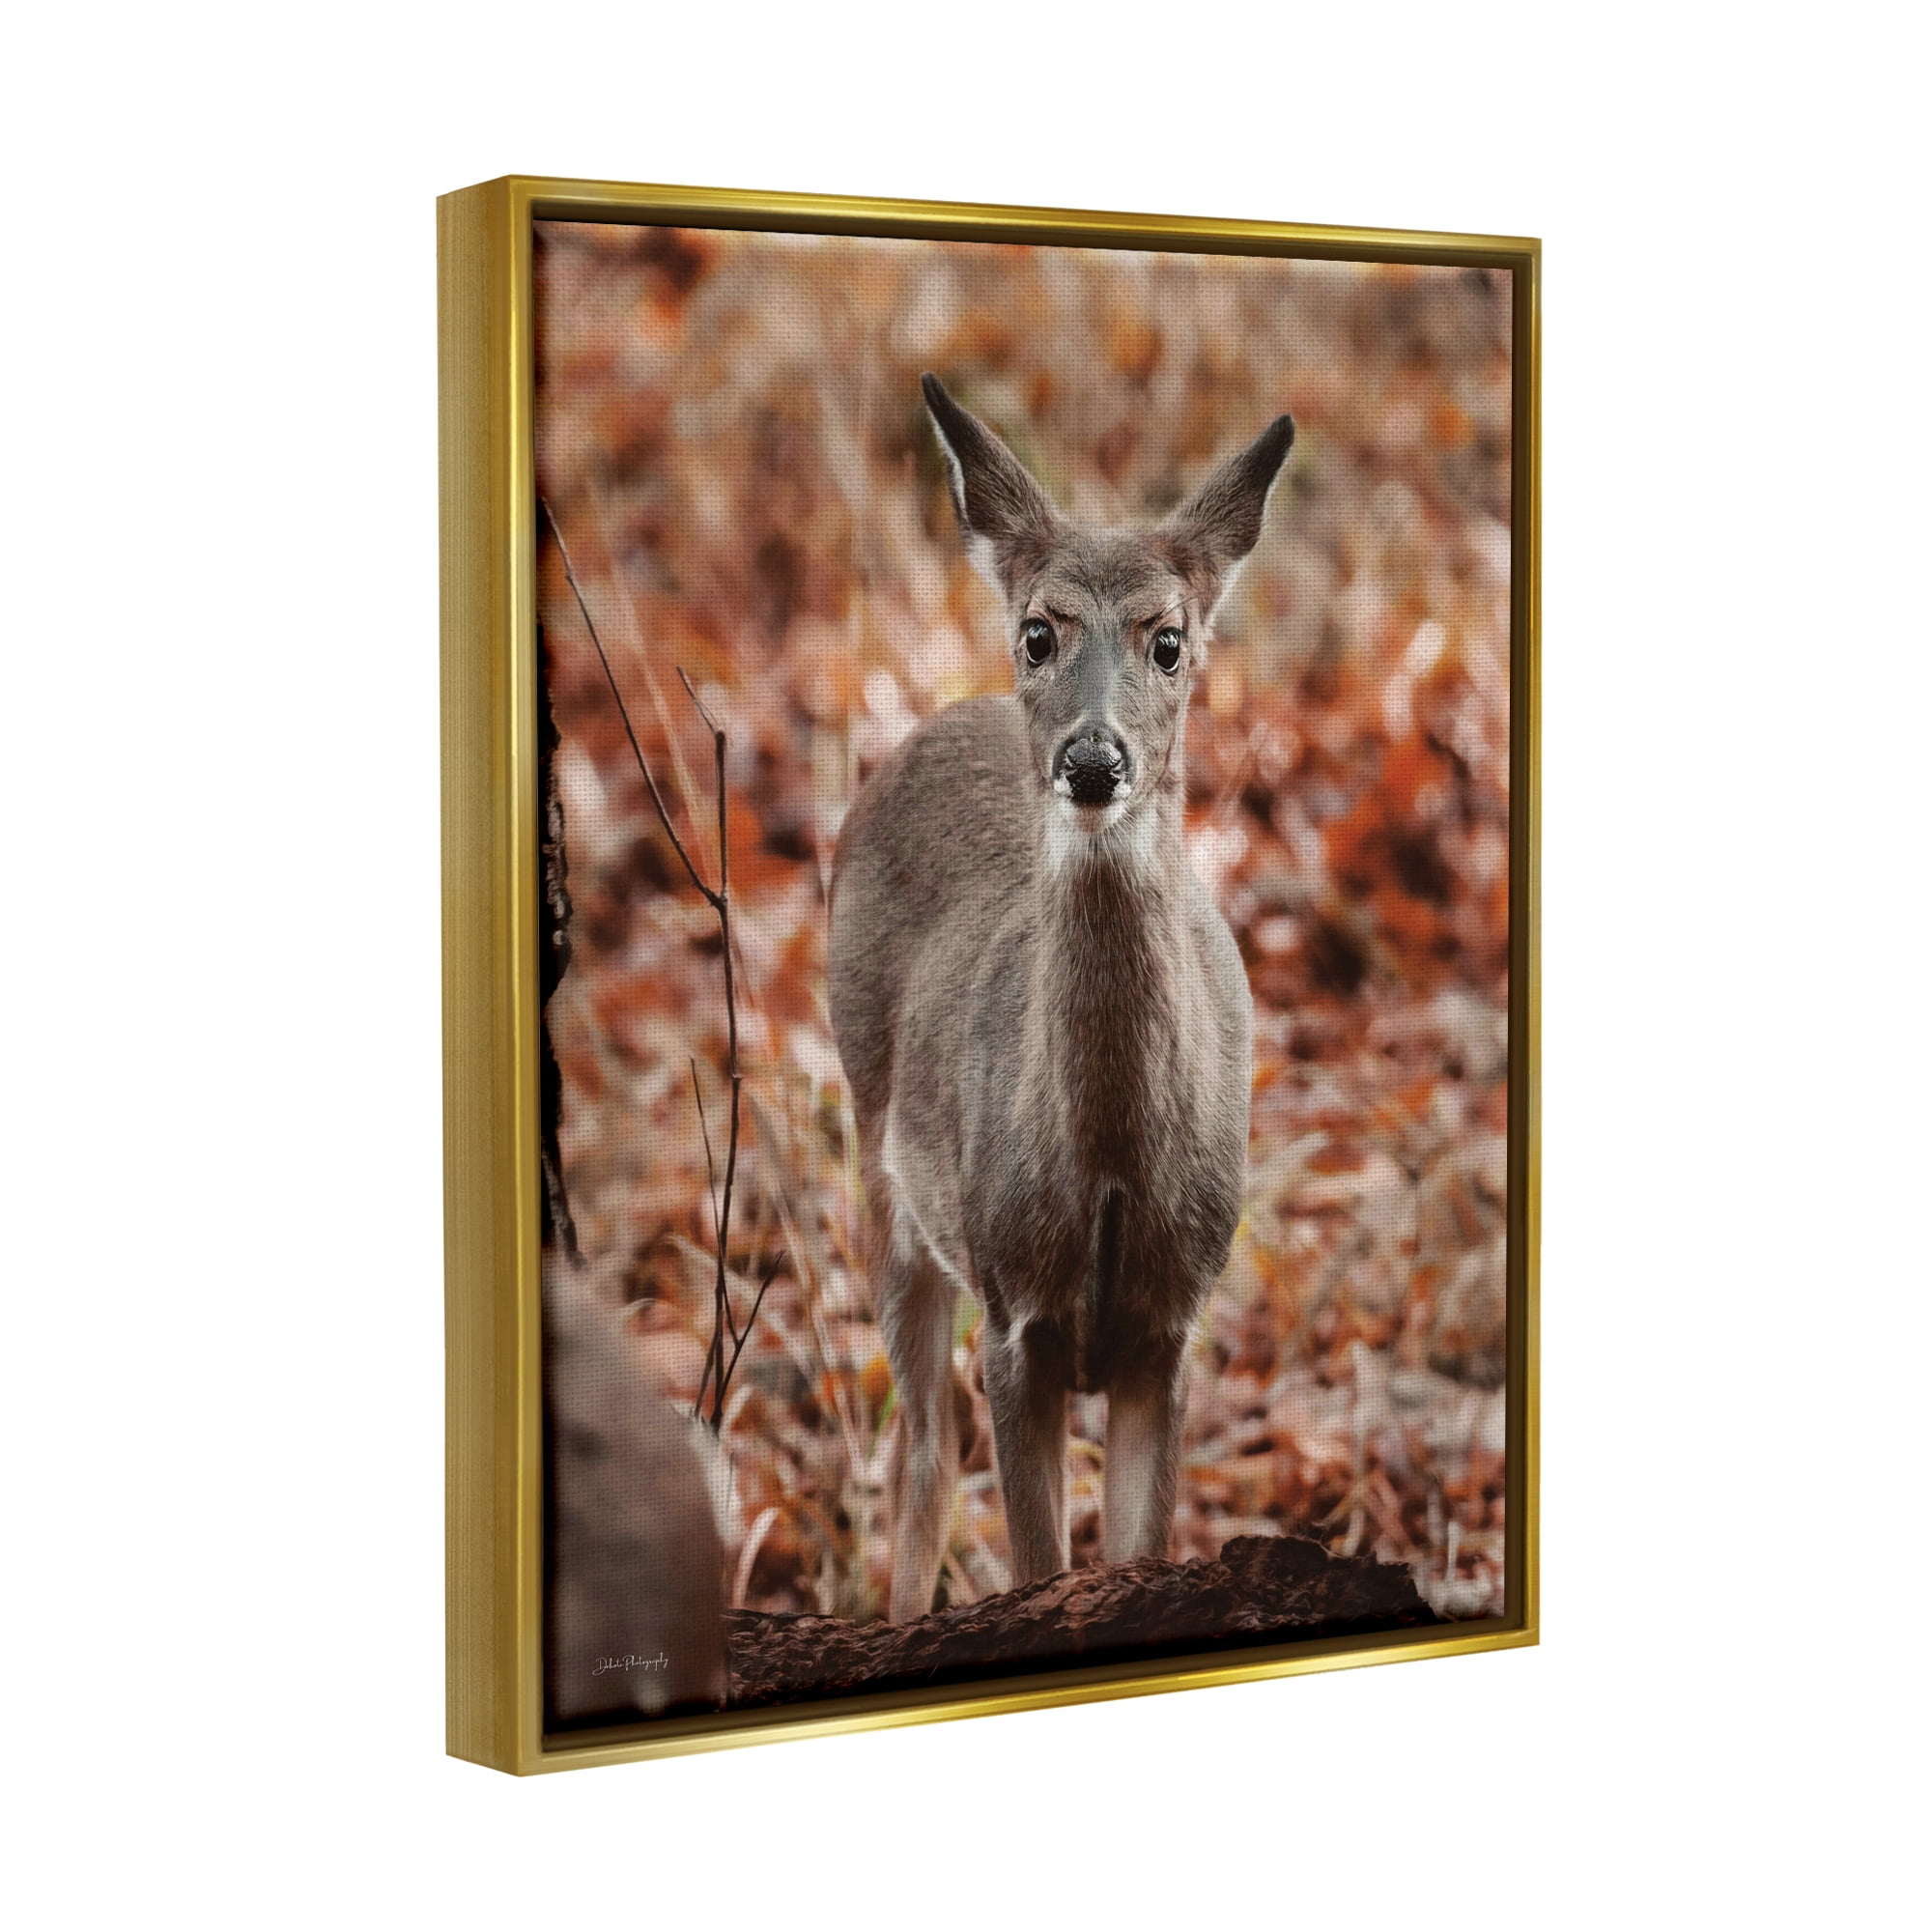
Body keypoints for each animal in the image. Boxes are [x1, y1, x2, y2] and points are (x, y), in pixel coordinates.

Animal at [829, 374, 1295, 1621]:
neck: (1107, 1163)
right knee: (921, 1451)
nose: (1092, 759)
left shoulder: (1169, 1327)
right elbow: (1037, 1562)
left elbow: (1134, 1549)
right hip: (881, 1165)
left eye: (1168, 640)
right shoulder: (1014, 1313)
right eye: (1038, 632)